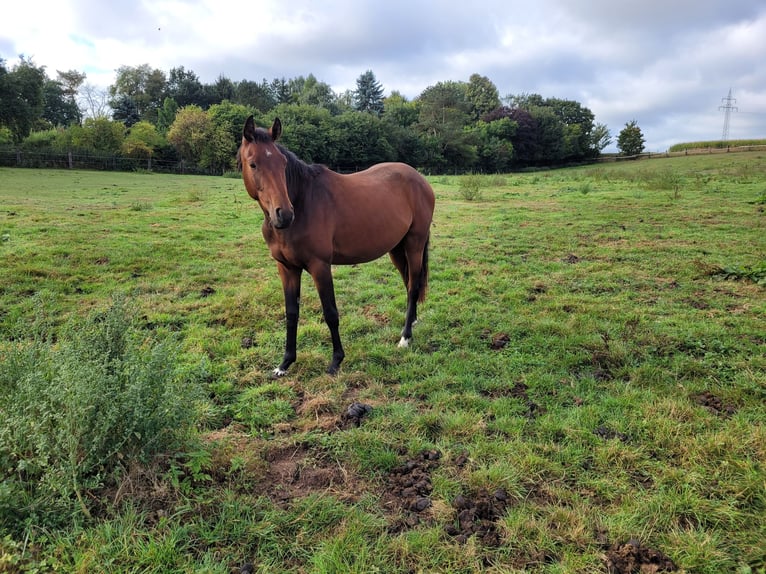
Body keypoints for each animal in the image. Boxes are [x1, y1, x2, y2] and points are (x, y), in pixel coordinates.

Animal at [239, 116, 435, 376]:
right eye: (253, 164)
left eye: (282, 164)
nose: (284, 214)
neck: (303, 201)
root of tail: (420, 179)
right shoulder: (287, 268)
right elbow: (291, 313)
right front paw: (285, 363)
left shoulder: (320, 266)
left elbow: (330, 312)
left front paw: (336, 361)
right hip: (397, 249)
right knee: (409, 283)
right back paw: (411, 321)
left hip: (415, 244)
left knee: (413, 286)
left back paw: (405, 337)